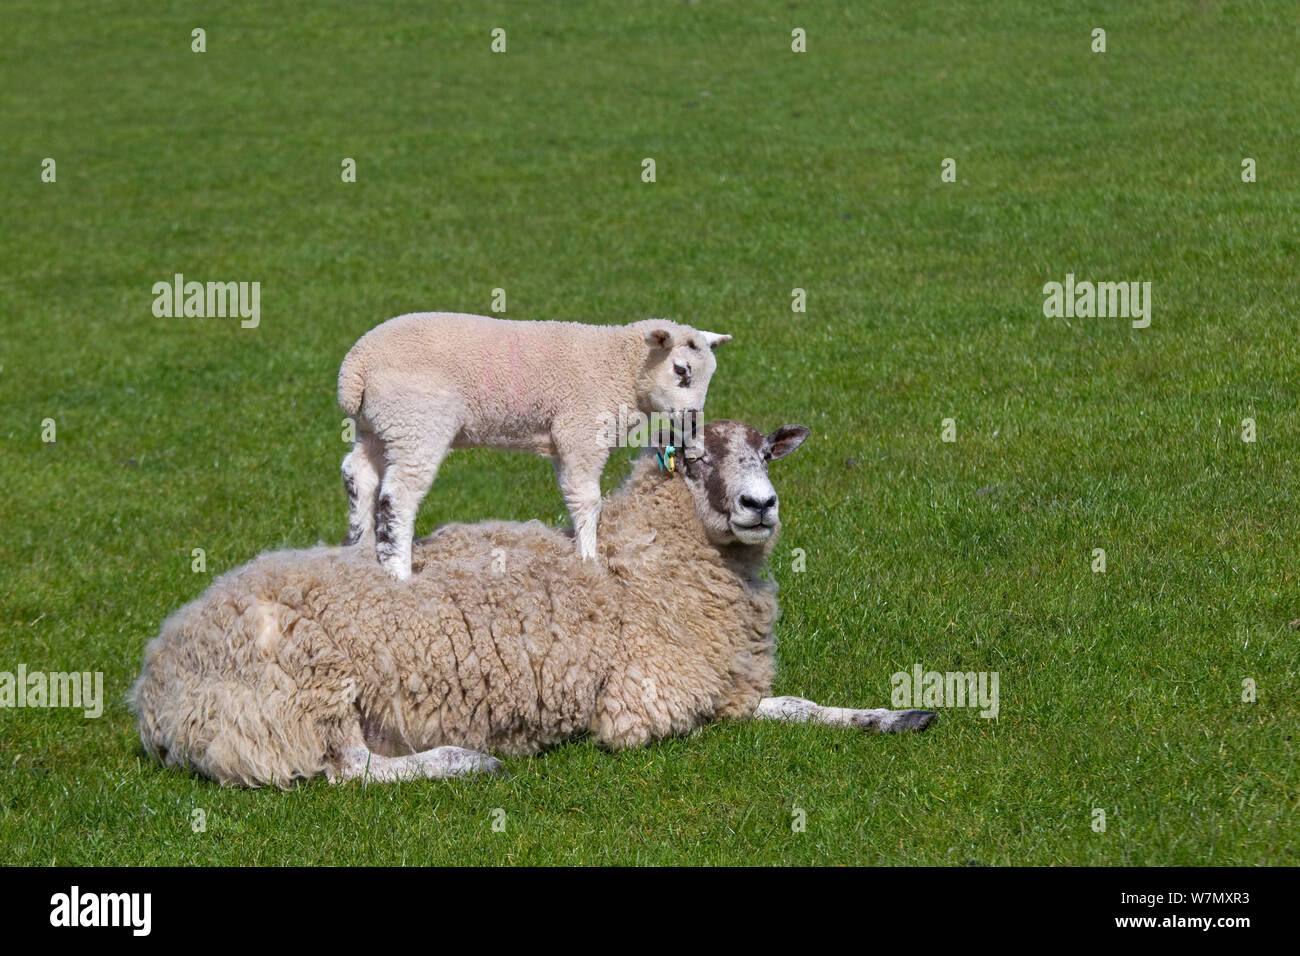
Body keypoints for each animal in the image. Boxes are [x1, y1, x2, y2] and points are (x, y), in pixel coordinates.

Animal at [129, 421, 935, 790]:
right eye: (695, 458)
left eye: (767, 453)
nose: (760, 506)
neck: (637, 569)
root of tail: (154, 688)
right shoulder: (643, 707)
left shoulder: (729, 684)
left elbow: (797, 706)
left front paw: (896, 716)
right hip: (303, 696)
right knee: (350, 768)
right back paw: (467, 759)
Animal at [338, 316, 733, 582]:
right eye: (681, 370)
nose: (692, 421)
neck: (620, 368)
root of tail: (355, 368)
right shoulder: (581, 431)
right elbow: (588, 500)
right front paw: (589, 559)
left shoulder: (564, 441)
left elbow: (573, 496)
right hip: (417, 423)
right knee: (398, 497)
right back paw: (398, 570)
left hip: (378, 426)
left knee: (358, 474)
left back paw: (361, 548)